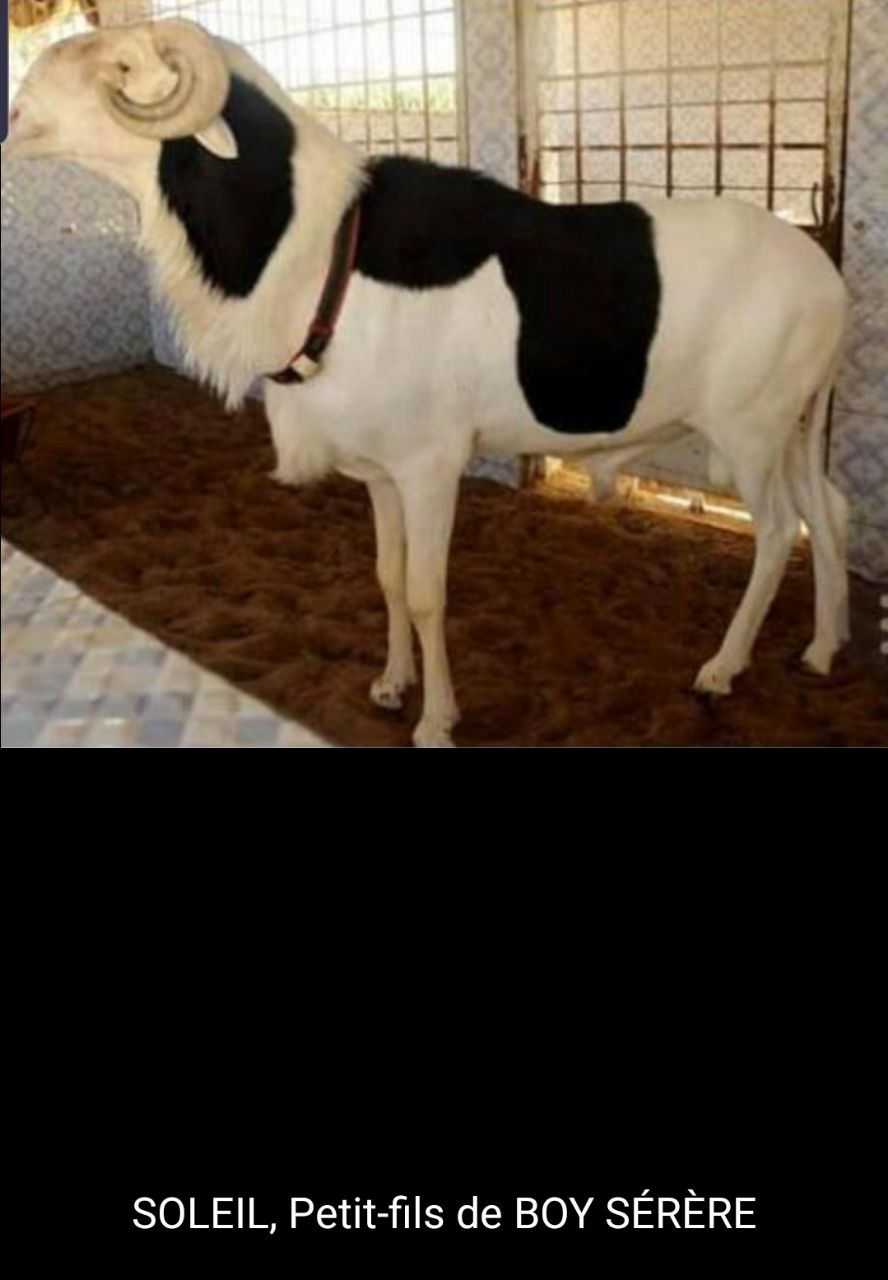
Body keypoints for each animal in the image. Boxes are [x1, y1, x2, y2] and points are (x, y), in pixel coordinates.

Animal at [6, 19, 850, 747]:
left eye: (121, 66)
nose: (15, 115)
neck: (317, 252)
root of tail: (827, 278)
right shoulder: (381, 472)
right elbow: (386, 578)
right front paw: (390, 684)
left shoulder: (431, 466)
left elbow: (424, 592)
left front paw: (436, 720)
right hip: (793, 426)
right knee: (826, 510)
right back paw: (823, 646)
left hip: (749, 428)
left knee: (780, 532)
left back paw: (722, 668)